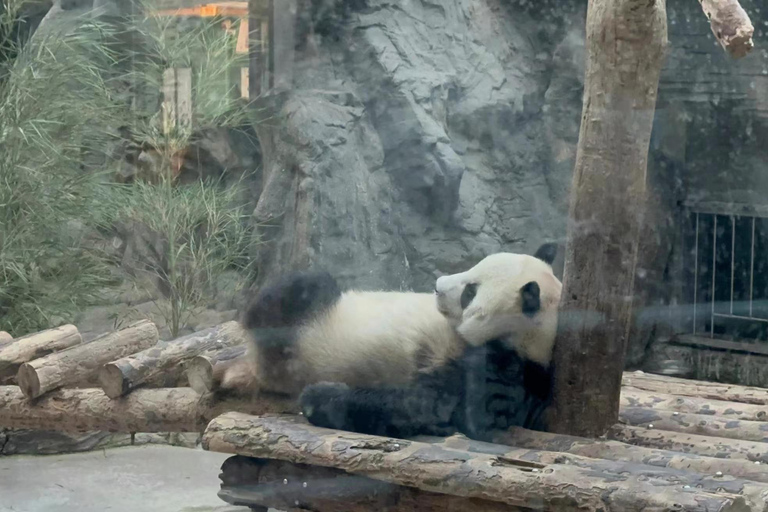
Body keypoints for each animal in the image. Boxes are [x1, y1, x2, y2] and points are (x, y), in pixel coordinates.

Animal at [237, 244, 560, 440]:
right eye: (472, 269)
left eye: (470, 291)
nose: (437, 286)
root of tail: (258, 365)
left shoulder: (504, 368)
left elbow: (426, 405)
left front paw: (319, 397)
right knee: (305, 284)